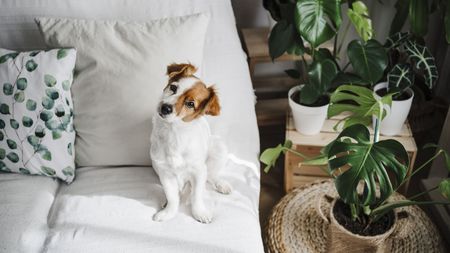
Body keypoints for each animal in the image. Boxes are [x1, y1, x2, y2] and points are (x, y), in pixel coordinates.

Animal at [150, 63, 232, 223]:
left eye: (190, 104)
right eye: (173, 87)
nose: (165, 108)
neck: (174, 132)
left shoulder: (198, 171)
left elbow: (196, 195)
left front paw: (199, 212)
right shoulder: (165, 172)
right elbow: (172, 196)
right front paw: (169, 212)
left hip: (219, 148)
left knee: (211, 175)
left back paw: (220, 184)